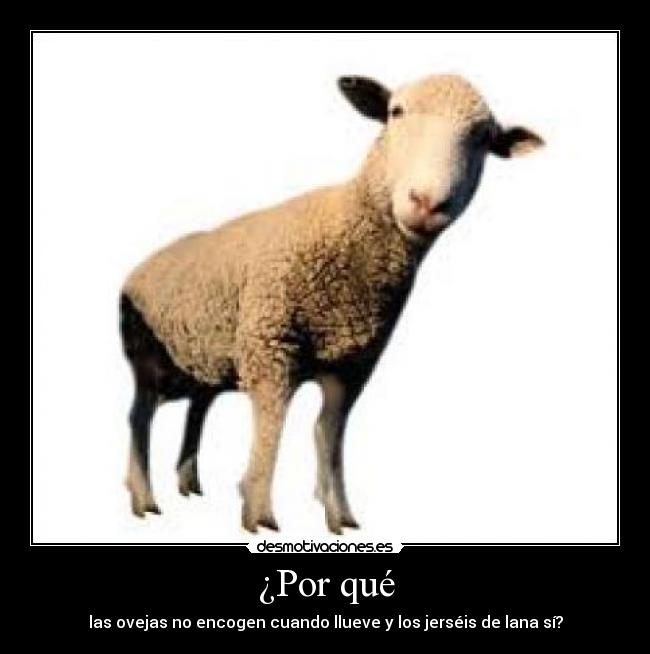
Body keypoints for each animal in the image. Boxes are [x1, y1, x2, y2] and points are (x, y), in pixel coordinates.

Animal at [120, 73, 543, 534]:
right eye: (395, 112)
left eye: (484, 139)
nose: (427, 203)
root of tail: (139, 267)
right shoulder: (270, 349)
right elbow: (271, 432)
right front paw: (258, 512)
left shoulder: (353, 365)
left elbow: (328, 436)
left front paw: (338, 512)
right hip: (149, 358)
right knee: (139, 418)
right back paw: (143, 498)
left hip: (203, 362)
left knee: (197, 410)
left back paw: (187, 481)